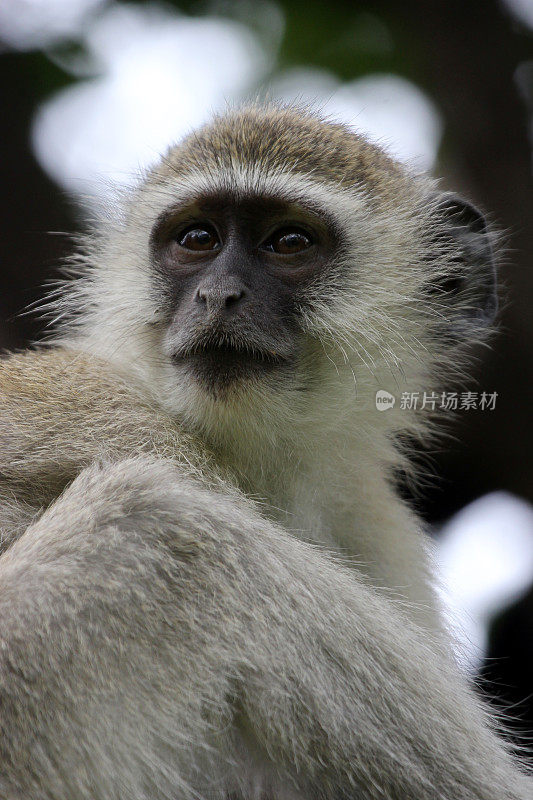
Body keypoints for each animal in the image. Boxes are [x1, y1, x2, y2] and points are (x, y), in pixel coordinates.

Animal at [0, 106, 528, 800]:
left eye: (290, 242)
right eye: (196, 238)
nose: (219, 295)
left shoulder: (375, 524)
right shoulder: (123, 421)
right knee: (168, 529)